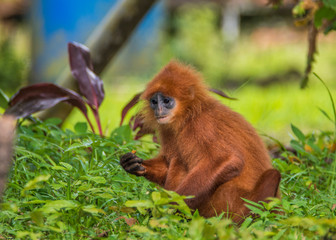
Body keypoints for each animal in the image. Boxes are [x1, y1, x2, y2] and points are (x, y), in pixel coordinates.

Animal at [119, 60, 280, 223]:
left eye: (166, 101)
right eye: (154, 102)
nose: (158, 110)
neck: (190, 115)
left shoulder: (202, 125)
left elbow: (227, 160)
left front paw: (166, 208)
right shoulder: (169, 130)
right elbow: (166, 165)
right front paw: (133, 164)